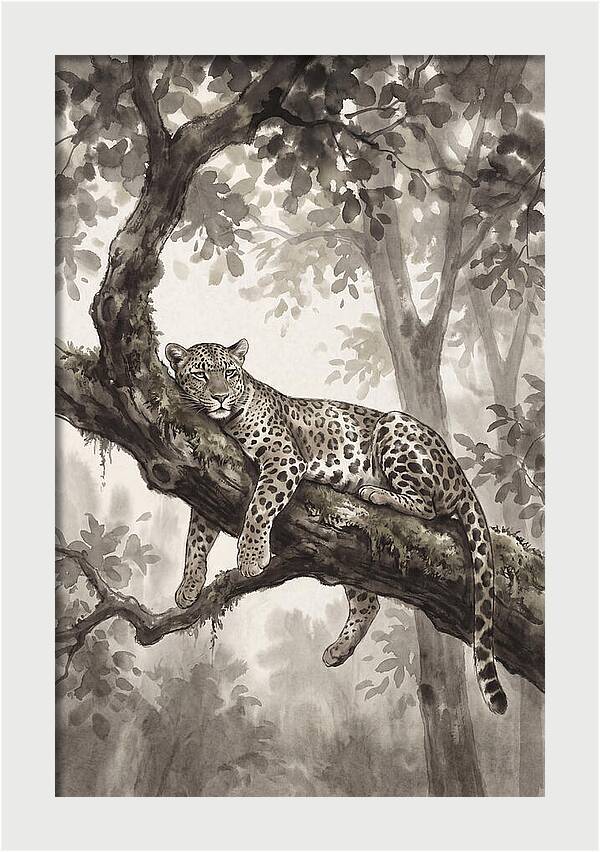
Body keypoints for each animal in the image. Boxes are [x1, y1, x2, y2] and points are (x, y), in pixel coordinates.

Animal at [166, 337, 508, 715]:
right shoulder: (211, 476)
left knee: (427, 506)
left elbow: (259, 507)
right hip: (348, 557)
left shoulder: (284, 458)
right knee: (368, 602)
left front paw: (252, 557)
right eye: (200, 374)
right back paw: (338, 650)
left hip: (395, 427)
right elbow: (196, 538)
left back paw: (376, 492)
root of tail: (459, 472)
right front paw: (189, 586)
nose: (221, 397)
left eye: (228, 372)